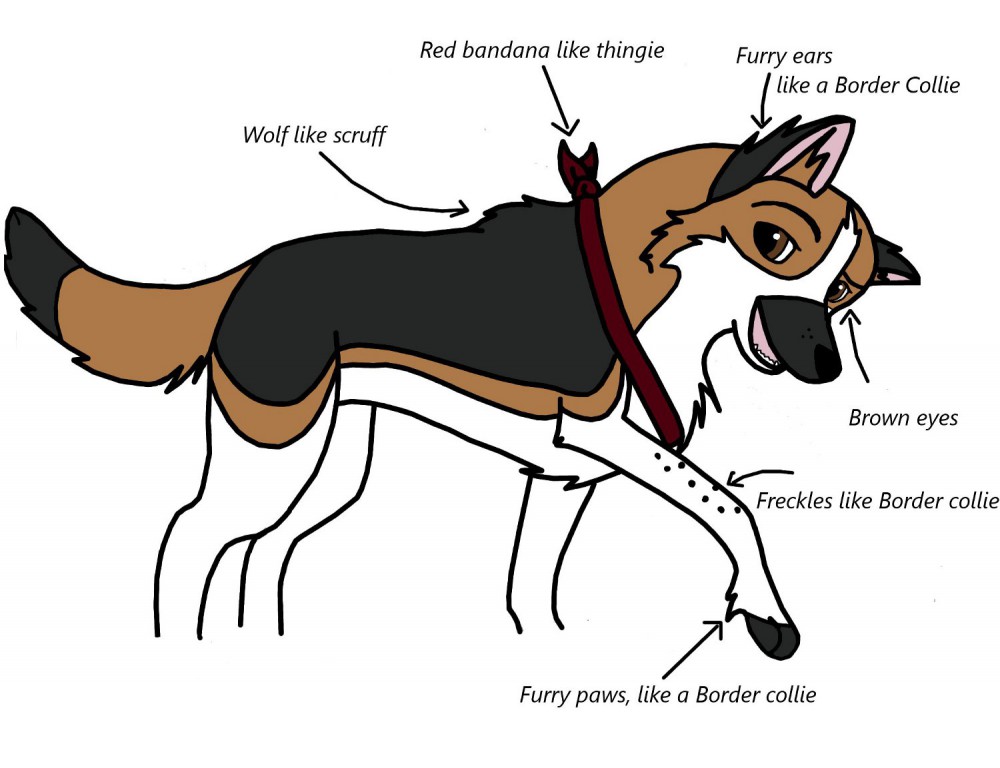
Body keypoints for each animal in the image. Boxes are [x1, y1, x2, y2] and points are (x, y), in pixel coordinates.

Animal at [4, 115, 918, 658]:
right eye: (775, 243)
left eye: (846, 293)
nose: (827, 368)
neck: (644, 284)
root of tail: (248, 273)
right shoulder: (598, 436)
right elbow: (729, 507)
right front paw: (768, 615)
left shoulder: (566, 476)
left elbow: (534, 589)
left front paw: (549, 658)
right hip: (270, 456)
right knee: (190, 536)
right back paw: (178, 657)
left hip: (327, 470)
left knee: (262, 553)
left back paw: (261, 654)